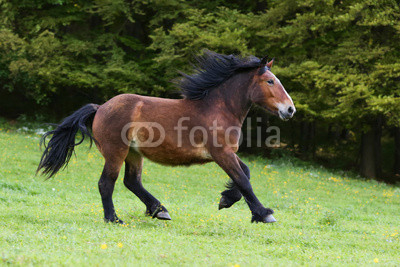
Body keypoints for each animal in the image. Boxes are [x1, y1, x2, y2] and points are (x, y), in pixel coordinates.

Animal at [36, 51, 294, 225]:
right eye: (270, 81)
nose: (290, 110)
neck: (218, 109)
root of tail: (100, 108)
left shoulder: (227, 153)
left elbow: (245, 174)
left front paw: (226, 200)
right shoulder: (221, 153)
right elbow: (243, 180)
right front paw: (264, 214)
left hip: (134, 153)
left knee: (132, 182)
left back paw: (159, 210)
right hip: (116, 152)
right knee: (106, 183)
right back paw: (114, 219)